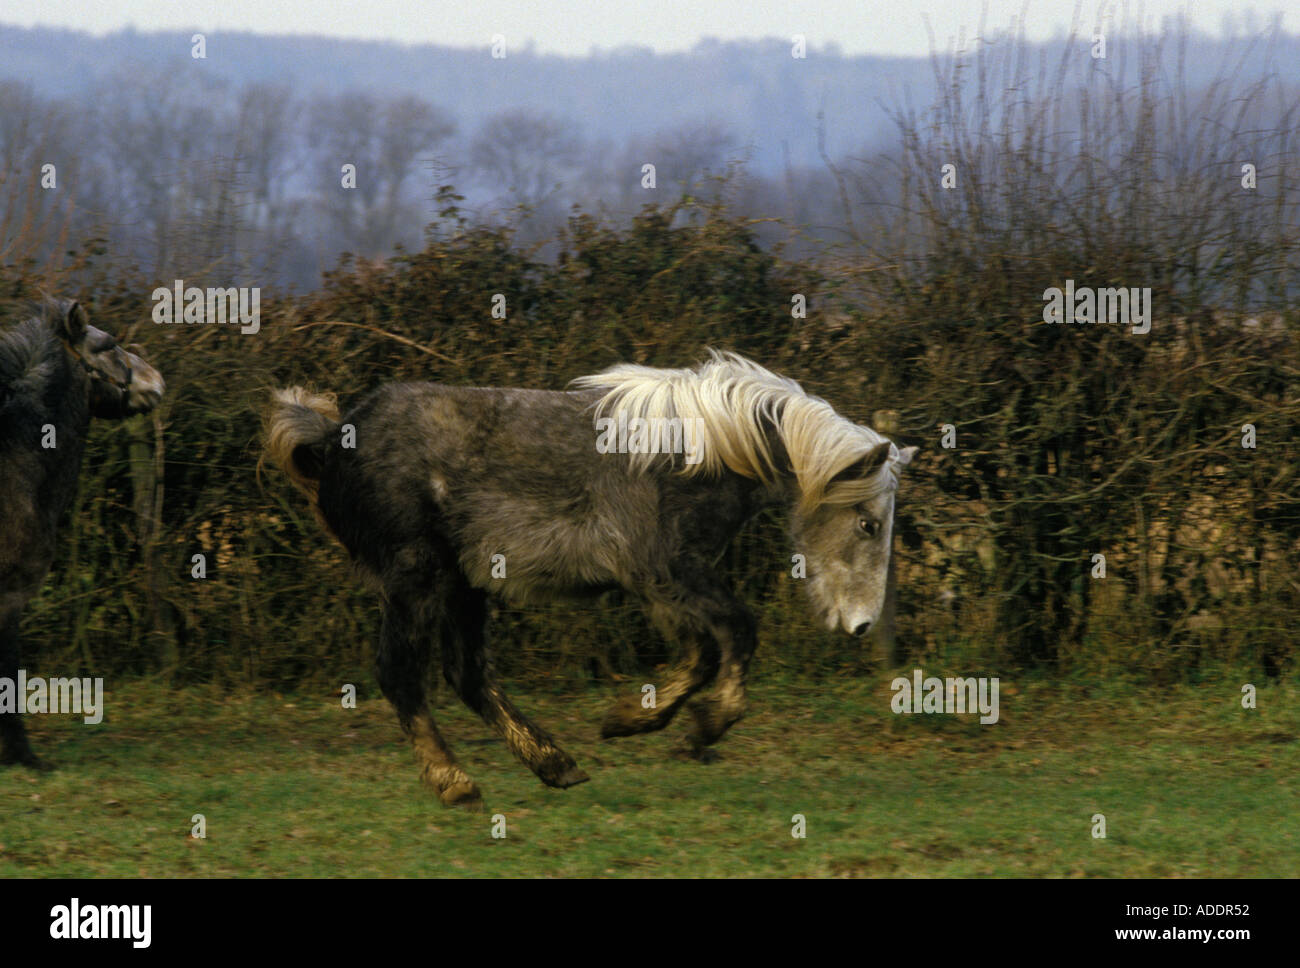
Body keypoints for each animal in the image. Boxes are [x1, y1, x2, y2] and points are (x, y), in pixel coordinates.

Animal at [261, 350, 915, 805]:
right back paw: (454, 781)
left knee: (467, 675)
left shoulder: (665, 583)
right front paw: (702, 728)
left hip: (464, 585)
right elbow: (736, 633)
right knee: (401, 673)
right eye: (868, 522)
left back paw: (555, 764)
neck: (697, 452)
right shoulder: (665, 569)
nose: (862, 625)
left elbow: (704, 653)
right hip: (415, 578)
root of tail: (334, 436)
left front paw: (635, 721)